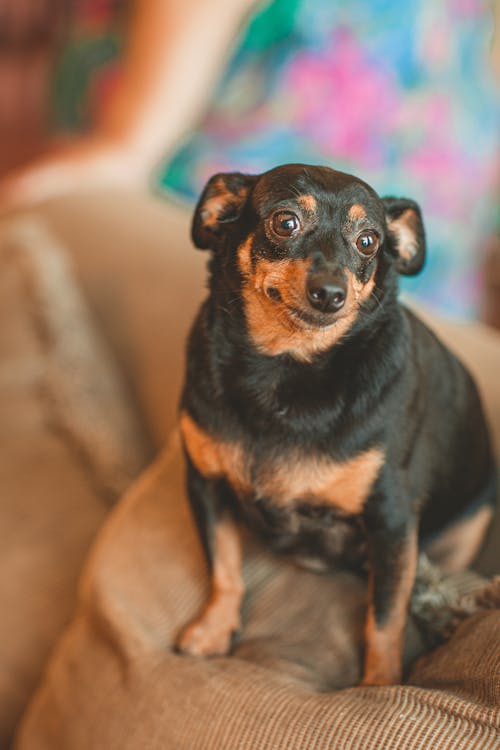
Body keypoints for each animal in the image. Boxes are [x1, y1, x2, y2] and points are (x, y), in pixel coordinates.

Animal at [176, 163, 496, 688]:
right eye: (285, 223)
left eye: (368, 241)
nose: (330, 293)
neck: (285, 369)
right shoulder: (206, 485)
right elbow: (223, 567)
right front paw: (213, 631)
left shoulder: (391, 522)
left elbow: (385, 618)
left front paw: (379, 687)